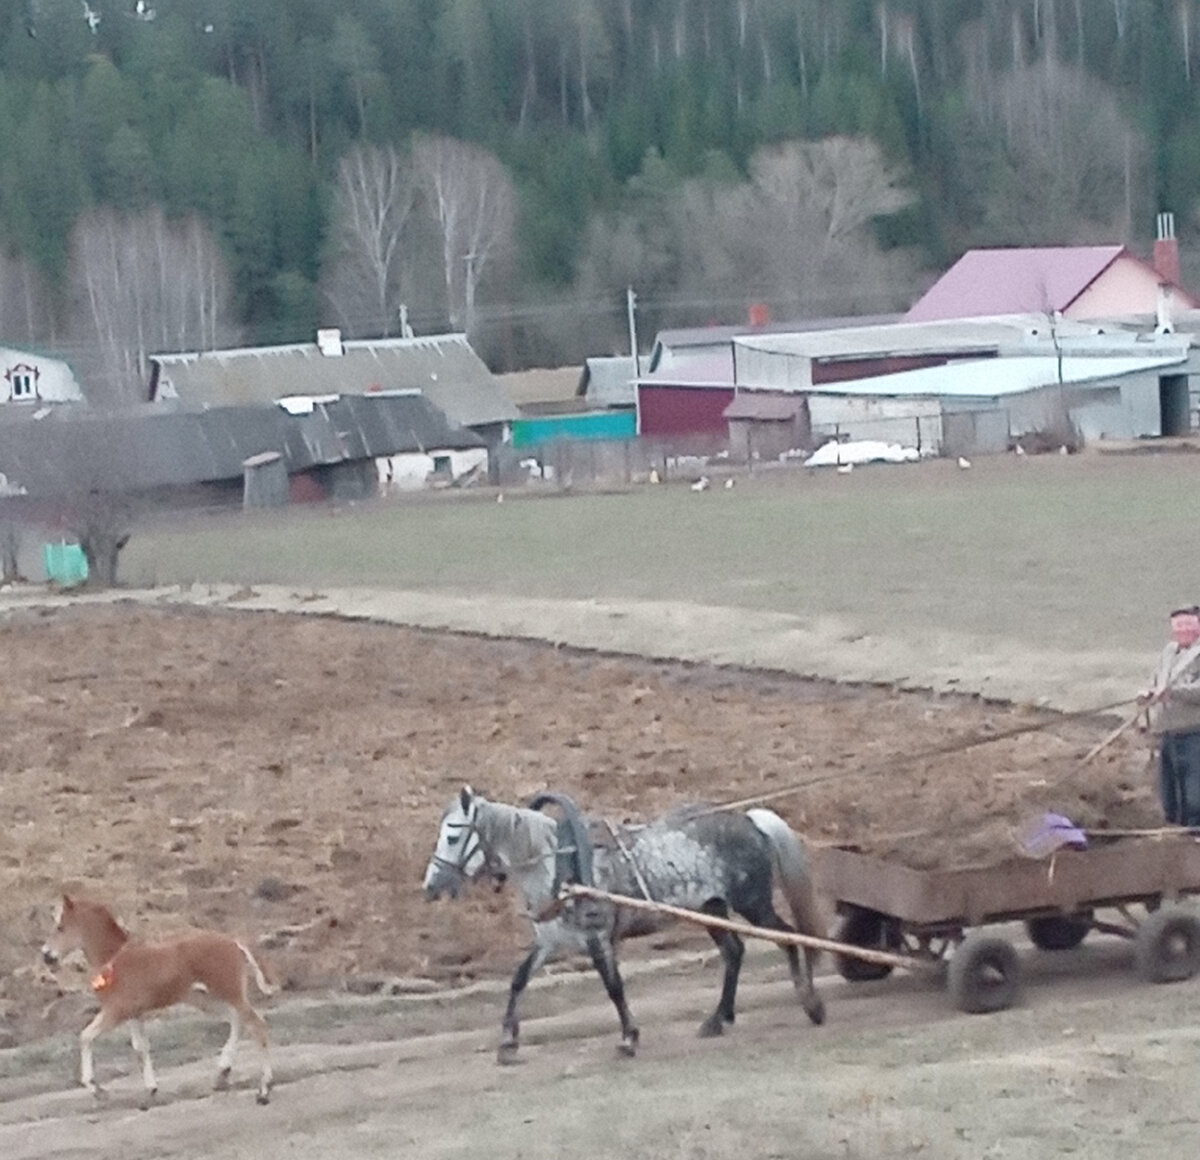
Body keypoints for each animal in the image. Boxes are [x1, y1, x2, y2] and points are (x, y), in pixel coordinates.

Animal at [42, 897, 276, 1108]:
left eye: (60, 927)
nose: (46, 955)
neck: (113, 960)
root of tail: (235, 944)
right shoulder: (134, 1014)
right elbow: (140, 1048)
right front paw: (151, 1091)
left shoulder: (117, 1011)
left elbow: (86, 1036)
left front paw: (97, 1089)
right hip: (205, 999)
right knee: (237, 1020)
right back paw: (222, 1073)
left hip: (228, 993)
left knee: (257, 1025)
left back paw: (264, 1090)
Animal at [422, 786, 825, 1060]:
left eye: (454, 835)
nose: (430, 886)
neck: (558, 867)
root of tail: (749, 820)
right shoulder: (550, 942)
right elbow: (519, 979)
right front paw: (508, 1041)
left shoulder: (597, 937)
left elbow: (614, 986)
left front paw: (628, 1038)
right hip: (710, 908)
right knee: (734, 951)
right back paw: (718, 1019)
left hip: (752, 904)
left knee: (788, 937)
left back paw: (810, 1004)